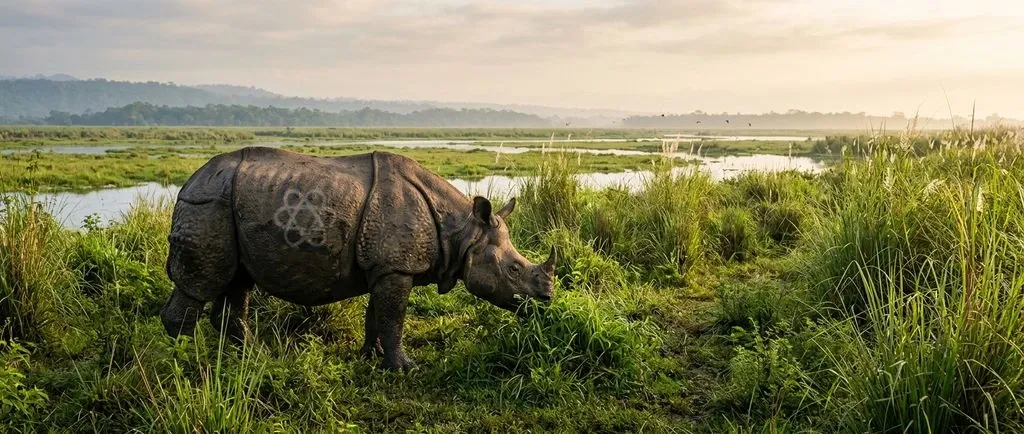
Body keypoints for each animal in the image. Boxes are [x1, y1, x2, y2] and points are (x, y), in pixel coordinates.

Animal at [161, 146, 556, 371]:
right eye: (514, 269)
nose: (547, 299)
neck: (461, 232)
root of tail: (189, 181)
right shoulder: (396, 268)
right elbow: (394, 318)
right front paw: (404, 368)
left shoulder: (385, 267)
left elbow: (377, 315)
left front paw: (371, 356)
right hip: (208, 204)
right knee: (202, 283)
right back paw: (184, 359)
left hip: (229, 204)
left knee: (239, 282)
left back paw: (249, 355)